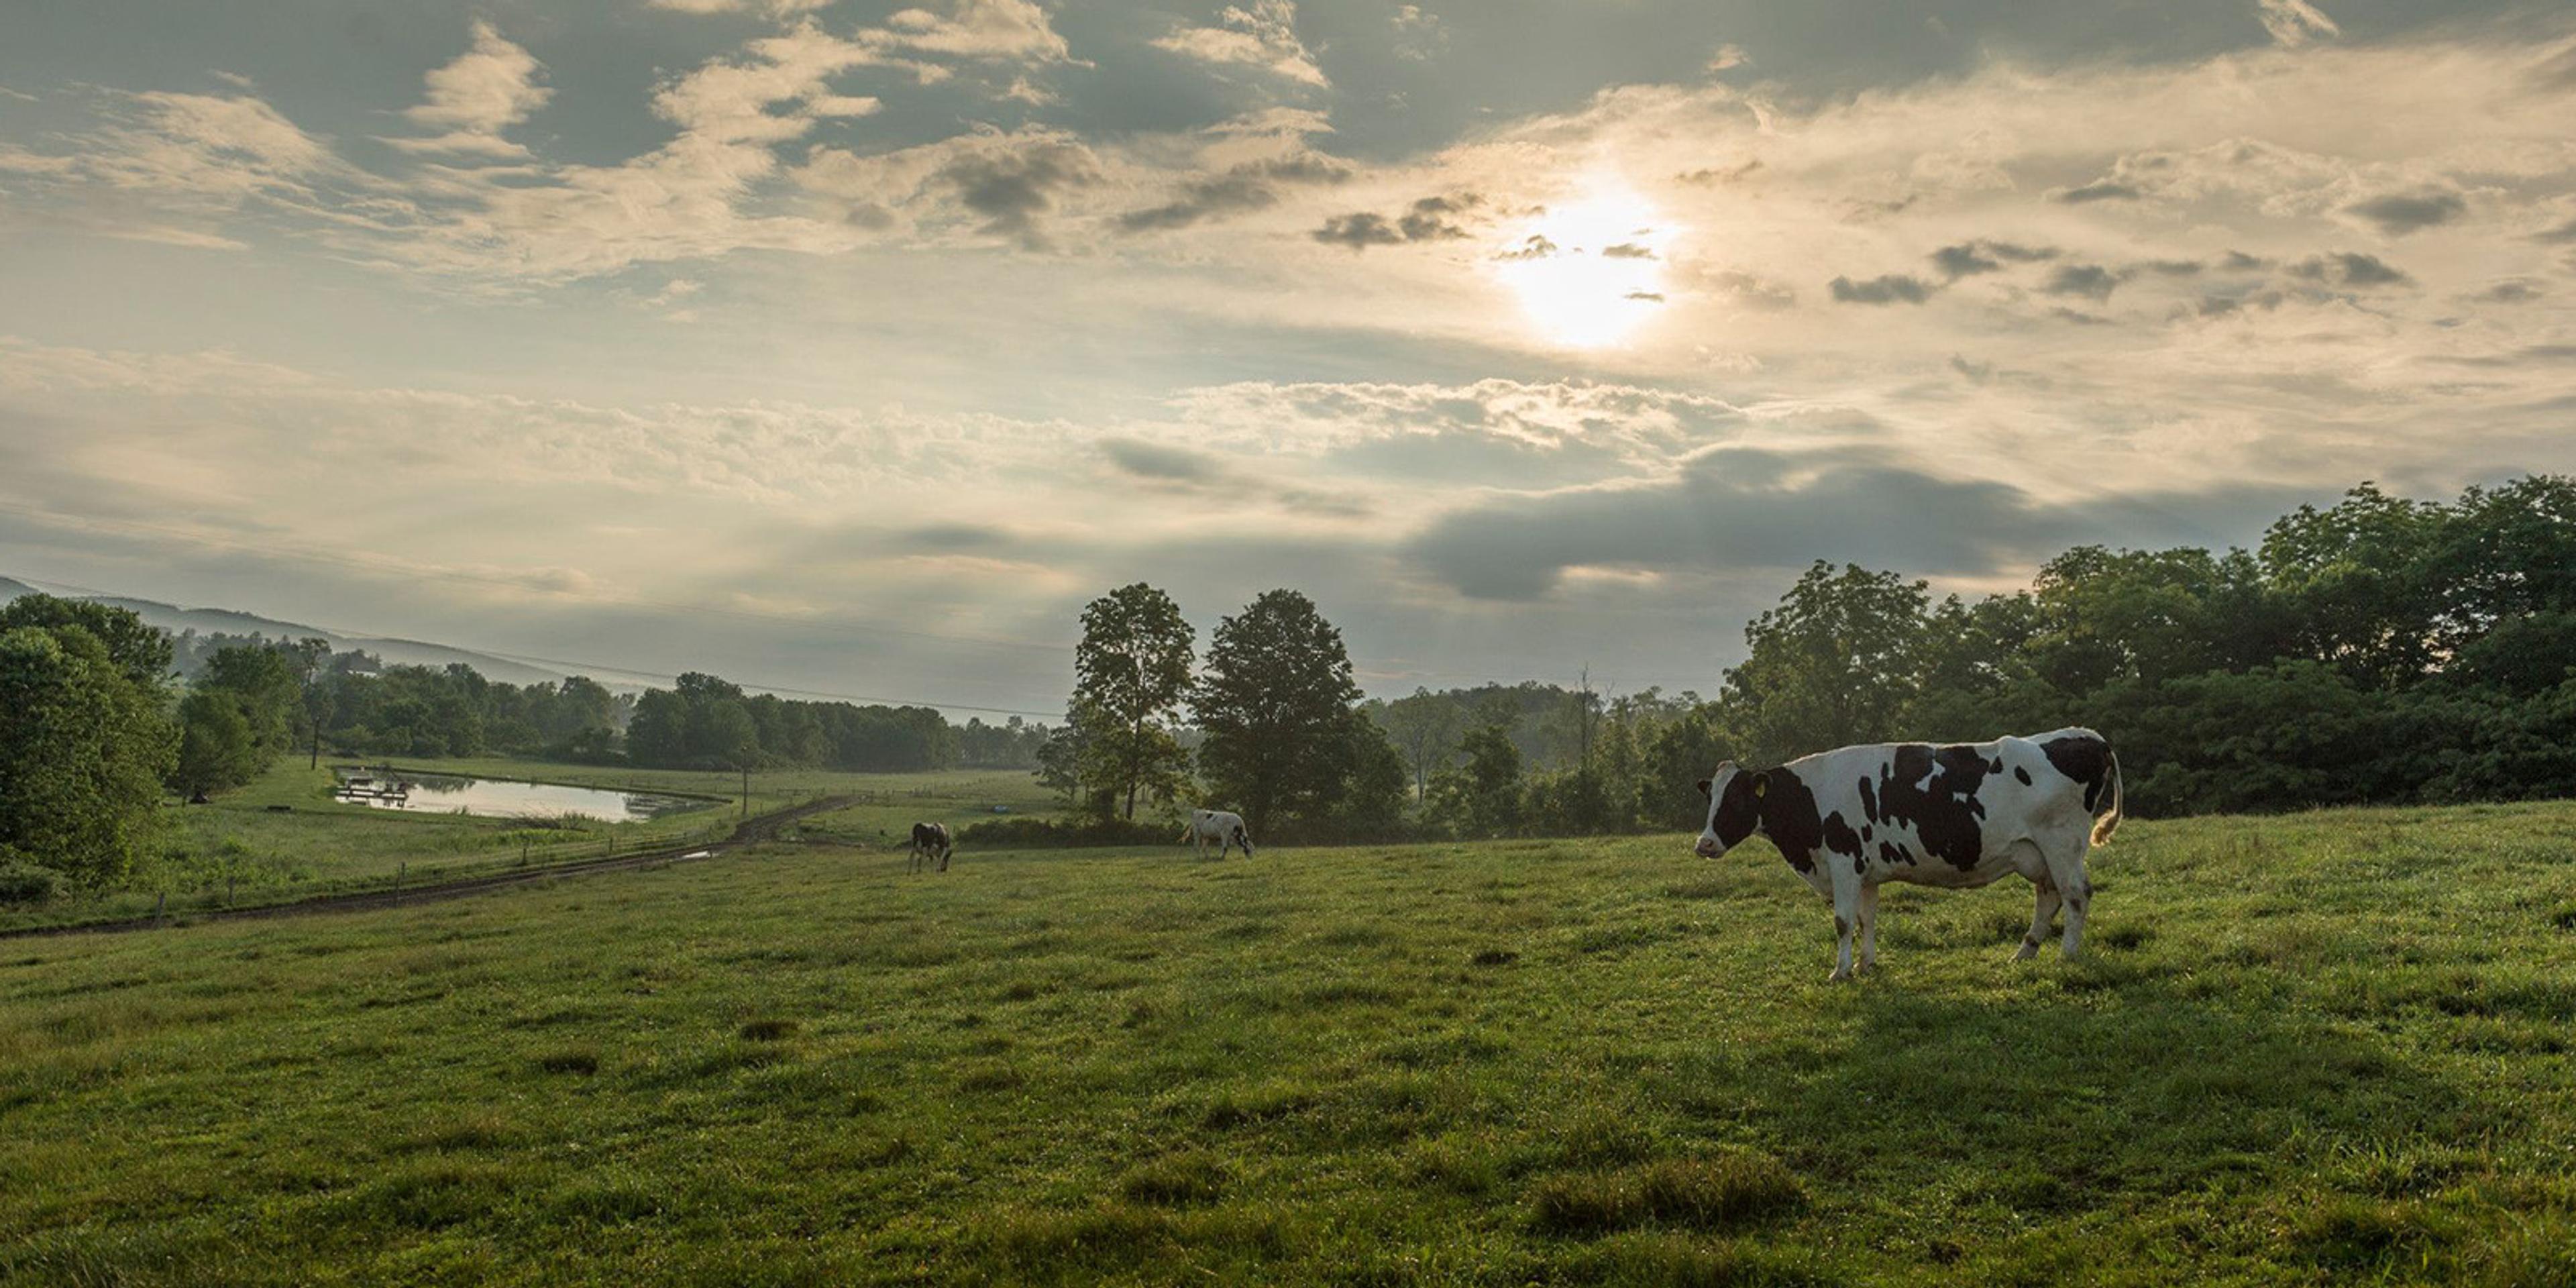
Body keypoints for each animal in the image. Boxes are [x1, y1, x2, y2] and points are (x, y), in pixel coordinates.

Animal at [1694, 728, 2123, 981]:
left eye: (1736, 800)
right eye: (1711, 796)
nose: (1704, 844)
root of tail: (2085, 735)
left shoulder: (1844, 863)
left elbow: (1843, 922)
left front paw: (1840, 972)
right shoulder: (1865, 872)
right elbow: (1866, 919)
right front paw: (1865, 965)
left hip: (2062, 844)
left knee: (2076, 895)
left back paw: (2067, 955)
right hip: (2036, 853)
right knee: (2048, 897)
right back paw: (2024, 953)